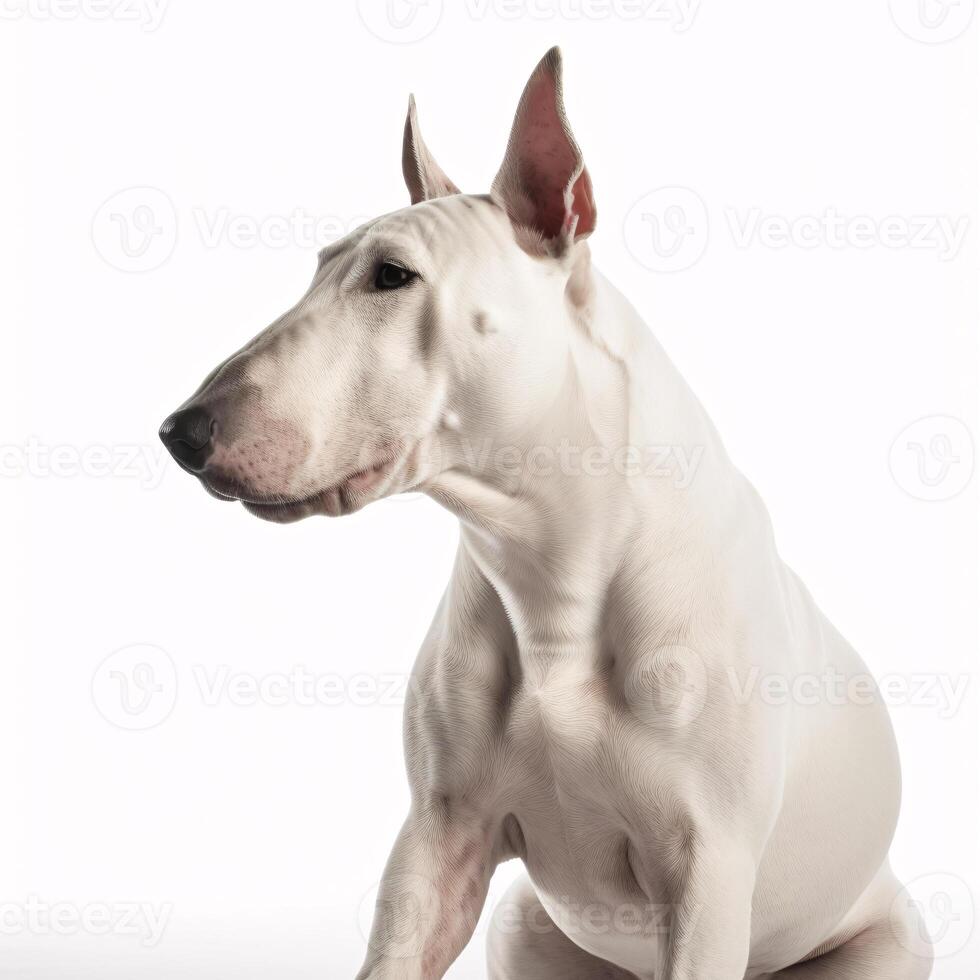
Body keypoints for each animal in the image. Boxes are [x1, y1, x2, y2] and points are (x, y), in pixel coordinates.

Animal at [157, 49, 932, 980]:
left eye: (392, 275)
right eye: (318, 268)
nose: (180, 432)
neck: (549, 564)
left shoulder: (707, 872)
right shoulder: (439, 836)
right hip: (520, 925)